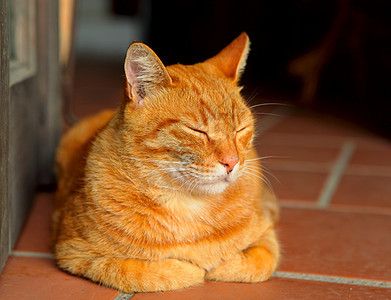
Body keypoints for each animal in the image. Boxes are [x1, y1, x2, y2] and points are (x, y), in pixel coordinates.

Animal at [52, 33, 278, 292]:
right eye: (197, 131)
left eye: (240, 129)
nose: (232, 162)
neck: (189, 205)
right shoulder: (75, 253)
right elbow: (143, 272)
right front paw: (191, 269)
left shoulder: (267, 234)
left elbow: (259, 262)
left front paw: (221, 264)